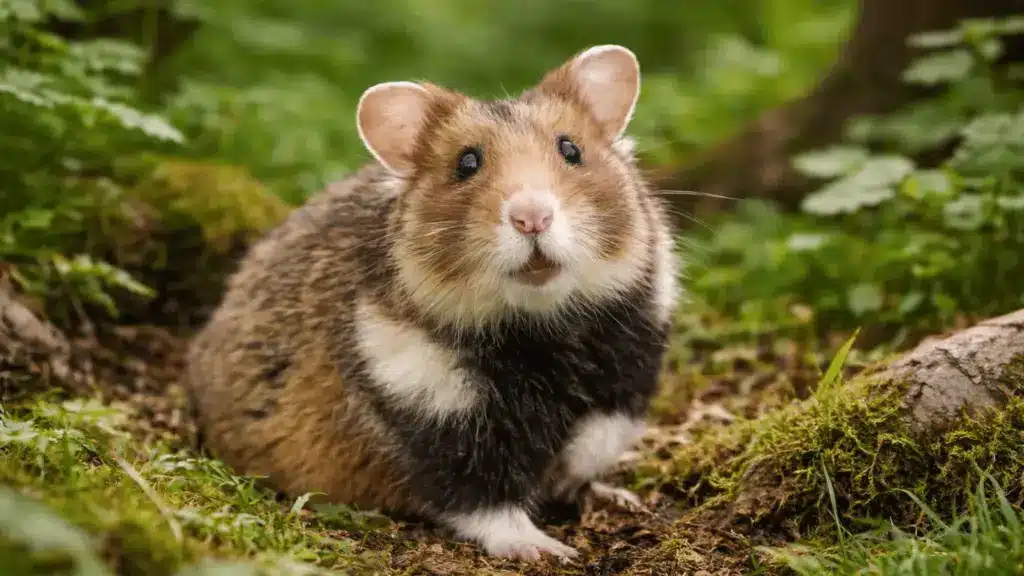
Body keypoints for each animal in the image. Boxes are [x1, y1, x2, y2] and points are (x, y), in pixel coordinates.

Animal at [185, 44, 681, 562]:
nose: (532, 218)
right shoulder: (434, 412)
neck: (541, 327)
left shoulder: (631, 363)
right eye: (467, 163)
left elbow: (598, 438)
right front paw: (545, 549)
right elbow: (483, 500)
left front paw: (577, 482)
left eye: (571, 150)